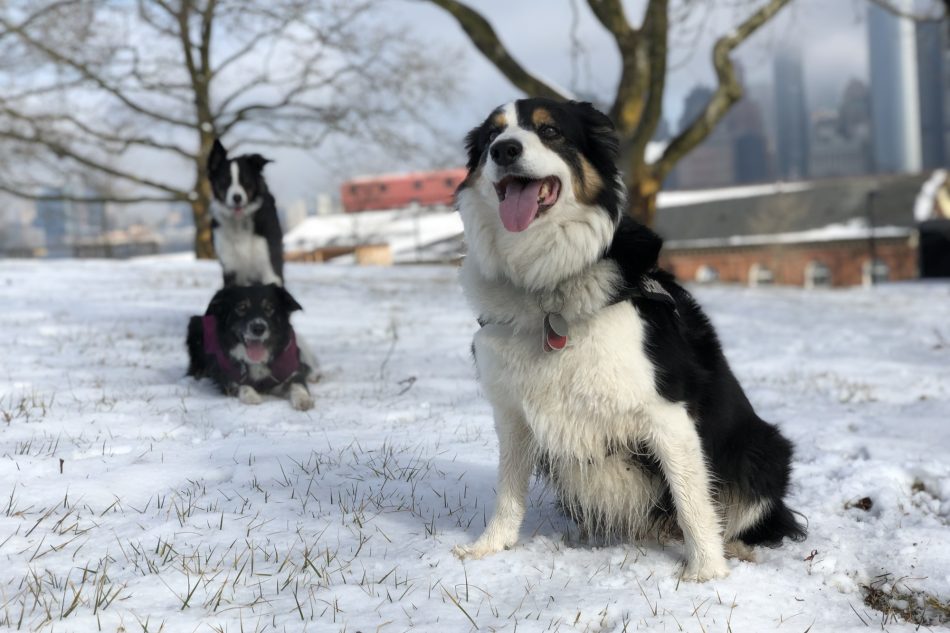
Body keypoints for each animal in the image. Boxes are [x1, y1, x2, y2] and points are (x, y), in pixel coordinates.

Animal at [188, 282, 314, 410]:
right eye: (242, 307)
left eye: (269, 308)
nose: (258, 328)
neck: (257, 362)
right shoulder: (228, 378)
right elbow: (242, 385)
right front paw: (251, 396)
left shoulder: (292, 372)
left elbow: (297, 384)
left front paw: (303, 399)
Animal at [207, 140, 284, 286]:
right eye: (225, 181)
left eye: (246, 181)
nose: (237, 198)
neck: (240, 222)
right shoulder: (230, 267)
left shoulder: (269, 267)